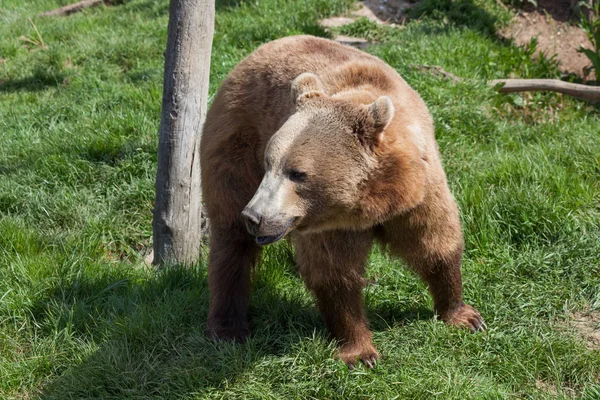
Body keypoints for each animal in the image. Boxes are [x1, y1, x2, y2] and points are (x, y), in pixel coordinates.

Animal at [200, 35, 482, 368]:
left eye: (297, 173)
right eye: (270, 164)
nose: (255, 216)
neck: (378, 200)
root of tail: (261, 49)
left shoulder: (420, 194)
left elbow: (435, 242)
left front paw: (464, 315)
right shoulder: (329, 222)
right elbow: (335, 274)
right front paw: (360, 352)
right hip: (237, 139)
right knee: (231, 238)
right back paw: (228, 327)